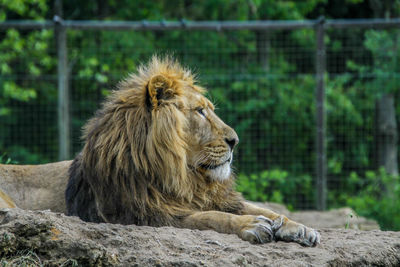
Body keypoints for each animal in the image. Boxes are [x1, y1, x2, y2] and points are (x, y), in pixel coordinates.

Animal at [66, 56, 322, 247]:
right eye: (199, 111)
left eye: (210, 109)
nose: (235, 141)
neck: (183, 176)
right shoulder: (150, 215)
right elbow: (210, 216)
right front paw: (250, 224)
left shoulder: (217, 197)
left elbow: (263, 209)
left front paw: (299, 227)